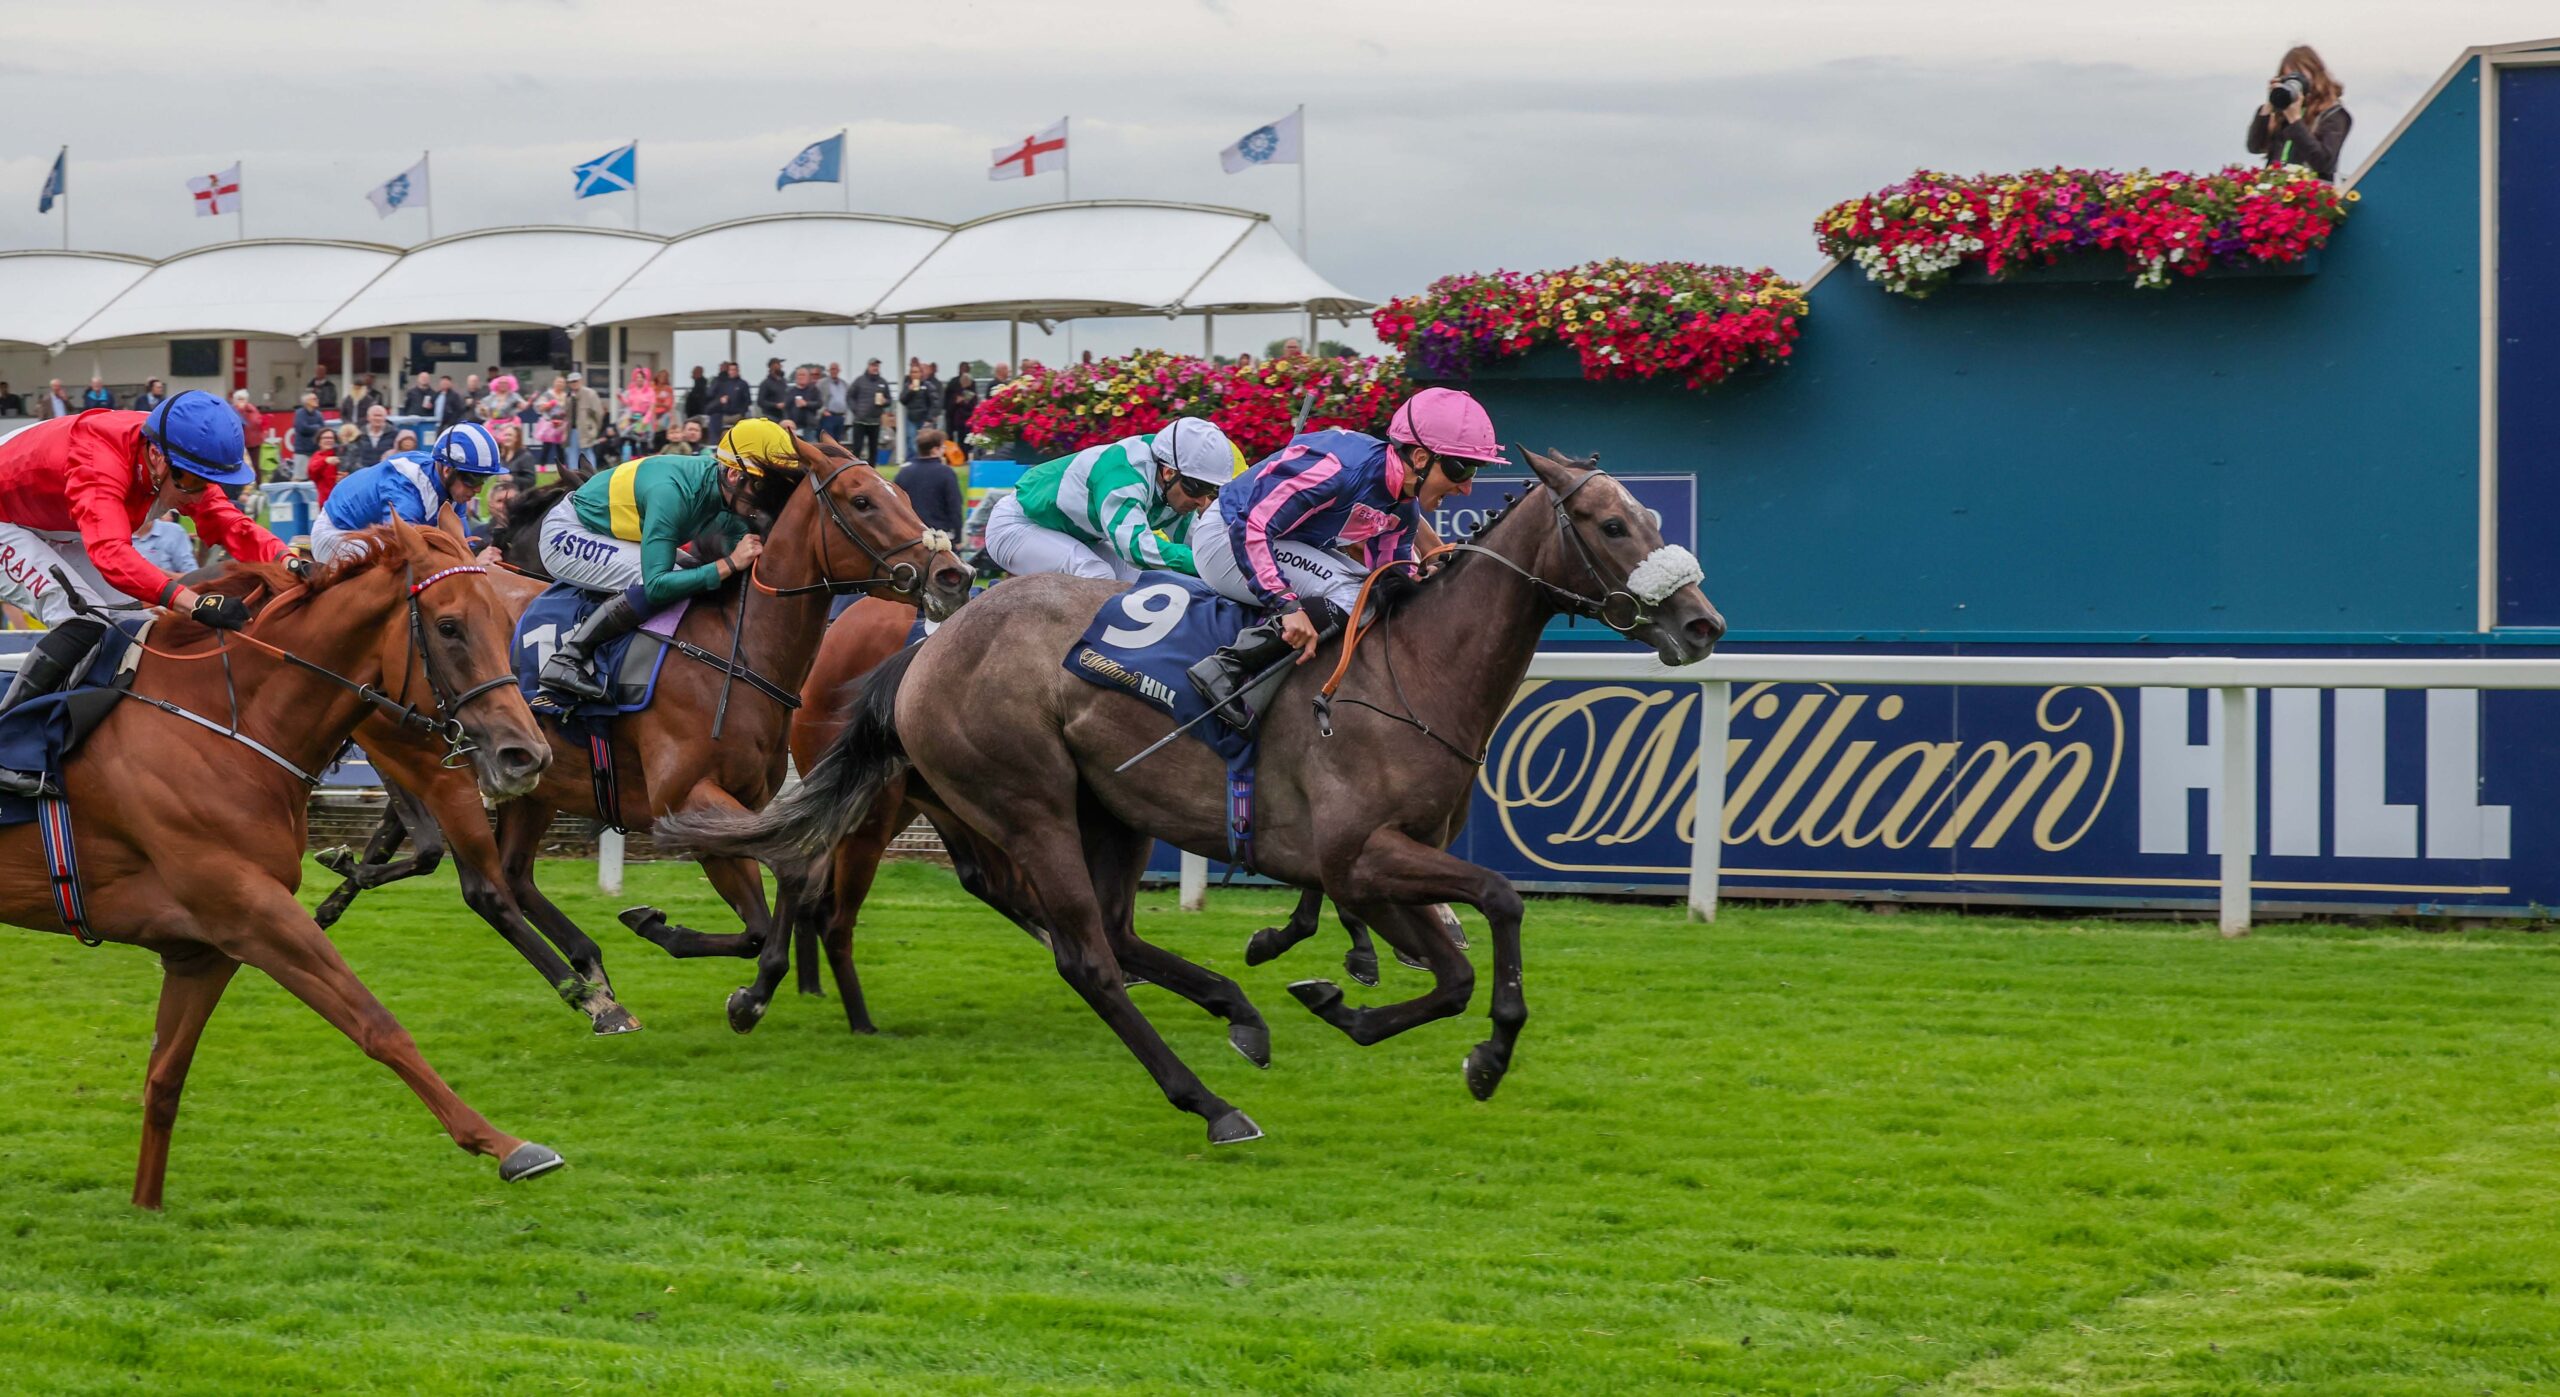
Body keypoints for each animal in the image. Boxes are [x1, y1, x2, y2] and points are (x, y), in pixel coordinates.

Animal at [0, 516, 560, 1202]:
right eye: (450, 626)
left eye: (507, 625)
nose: (526, 755)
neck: (229, 727)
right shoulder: (253, 915)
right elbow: (378, 1024)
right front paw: (507, 1146)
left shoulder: (203, 949)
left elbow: (165, 1080)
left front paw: (146, 1207)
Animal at [312, 440, 967, 1028]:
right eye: (862, 501)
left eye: (904, 495)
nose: (954, 573)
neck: (736, 648)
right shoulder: (686, 800)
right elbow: (783, 883)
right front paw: (732, 982)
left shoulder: (744, 805)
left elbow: (770, 907)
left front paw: (726, 973)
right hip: (433, 755)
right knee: (480, 881)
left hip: (533, 781)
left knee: (513, 875)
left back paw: (588, 969)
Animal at [670, 447, 1730, 1141]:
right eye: (1608, 524)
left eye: (1653, 519)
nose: (1702, 623)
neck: (1414, 672)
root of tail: (930, 645)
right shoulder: (1362, 855)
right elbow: (1500, 905)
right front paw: (1482, 1051)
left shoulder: (1384, 868)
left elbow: (1455, 968)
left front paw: (1341, 1000)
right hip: (1030, 802)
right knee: (1086, 956)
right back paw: (1211, 1104)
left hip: (1108, 808)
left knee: (1112, 933)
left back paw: (1241, 1015)